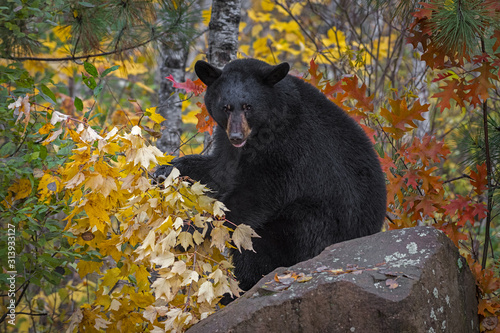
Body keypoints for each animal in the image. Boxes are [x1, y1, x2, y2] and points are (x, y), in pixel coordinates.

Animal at [155, 59, 386, 298]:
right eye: (225, 107)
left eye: (248, 106)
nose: (236, 136)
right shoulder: (228, 144)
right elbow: (219, 171)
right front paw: (165, 169)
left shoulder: (288, 149)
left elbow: (254, 195)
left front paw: (191, 229)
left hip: (316, 223)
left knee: (263, 242)